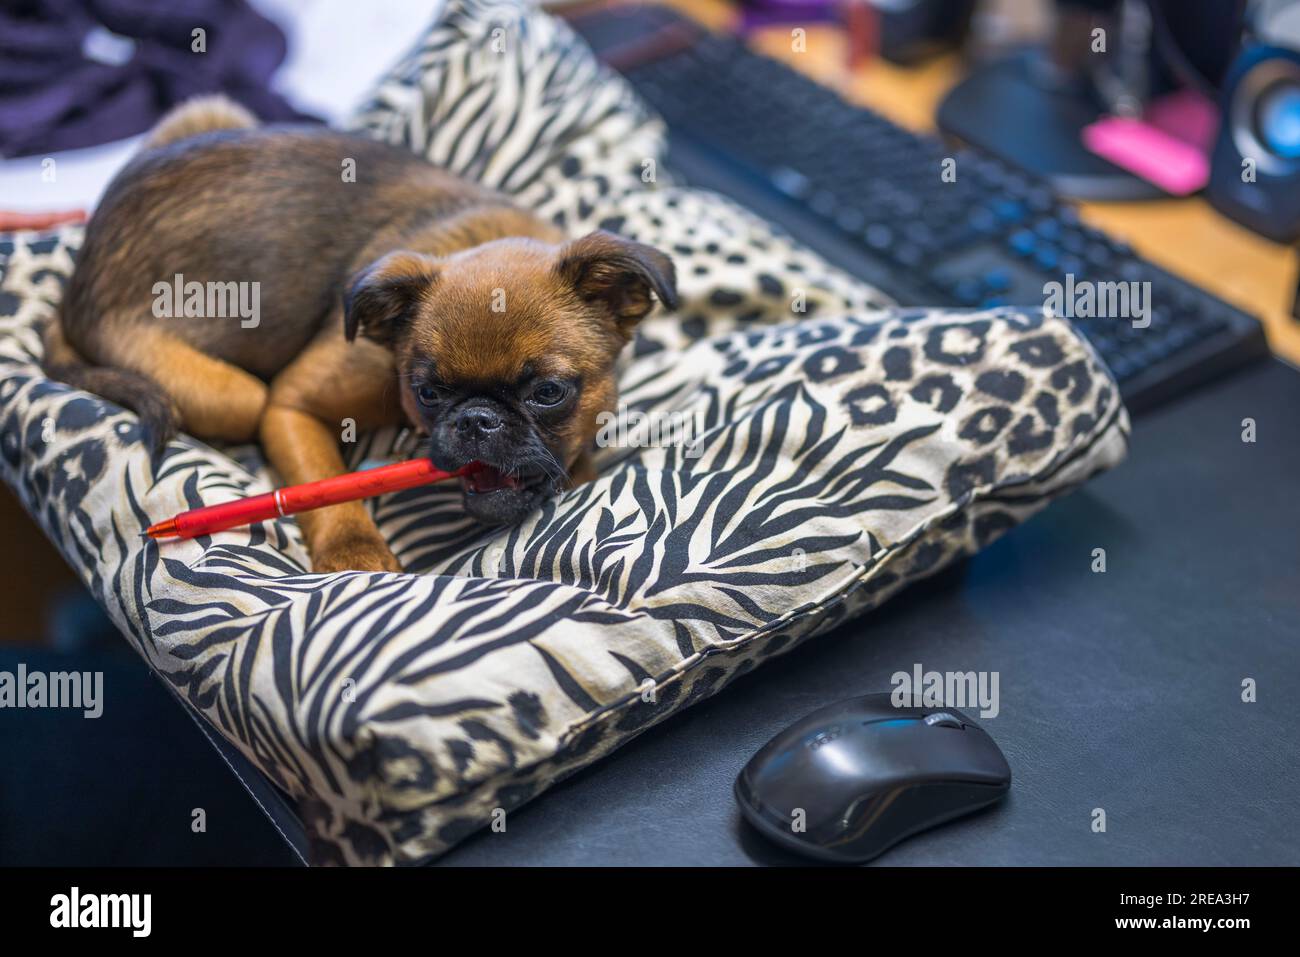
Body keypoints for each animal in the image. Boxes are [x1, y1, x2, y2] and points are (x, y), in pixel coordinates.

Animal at [48, 98, 681, 566]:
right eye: (426, 392)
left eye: (549, 393)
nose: (477, 420)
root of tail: (77, 283)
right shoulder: (287, 408)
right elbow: (325, 489)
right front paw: (355, 554)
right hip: (236, 397)